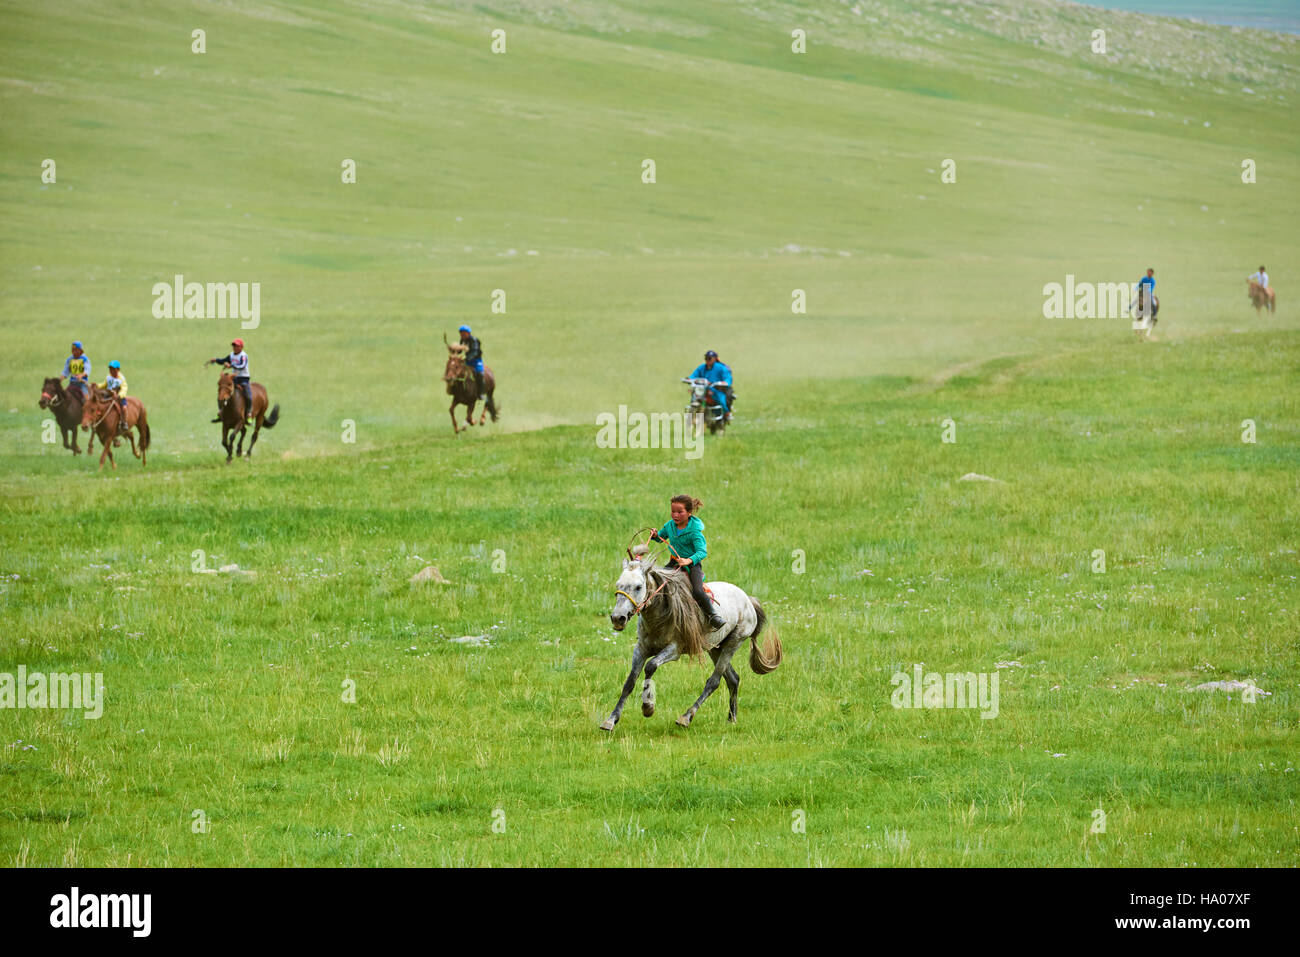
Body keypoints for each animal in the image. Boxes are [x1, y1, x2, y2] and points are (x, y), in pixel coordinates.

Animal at [600, 540, 780, 728]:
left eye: (638, 587)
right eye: (618, 585)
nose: (617, 618)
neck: (660, 615)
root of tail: (748, 600)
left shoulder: (674, 650)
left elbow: (651, 666)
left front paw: (648, 707)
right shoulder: (641, 649)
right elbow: (630, 681)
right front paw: (611, 719)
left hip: (733, 643)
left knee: (714, 681)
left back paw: (686, 717)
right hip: (715, 648)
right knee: (733, 679)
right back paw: (731, 718)